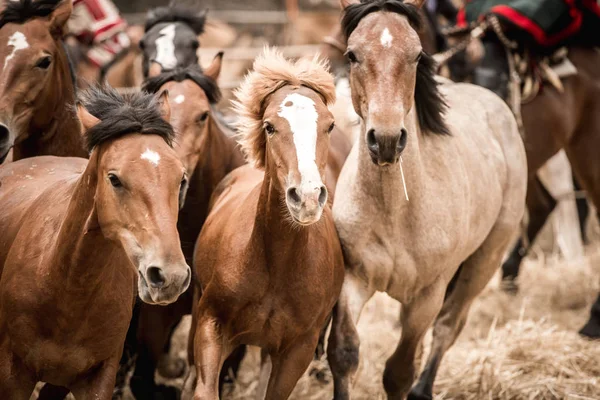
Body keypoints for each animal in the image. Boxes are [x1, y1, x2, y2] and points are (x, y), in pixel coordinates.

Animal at [180, 49, 344, 400]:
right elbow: (204, 389)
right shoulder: (211, 326)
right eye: (269, 126)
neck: (277, 264)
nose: (307, 196)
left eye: (330, 125)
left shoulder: (297, 350)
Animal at [326, 0, 528, 400]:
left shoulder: (428, 295)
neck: (396, 210)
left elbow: (399, 371)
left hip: (484, 261)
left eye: (417, 55)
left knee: (448, 327)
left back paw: (424, 388)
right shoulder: (353, 279)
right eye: (352, 54)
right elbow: (343, 353)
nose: (386, 140)